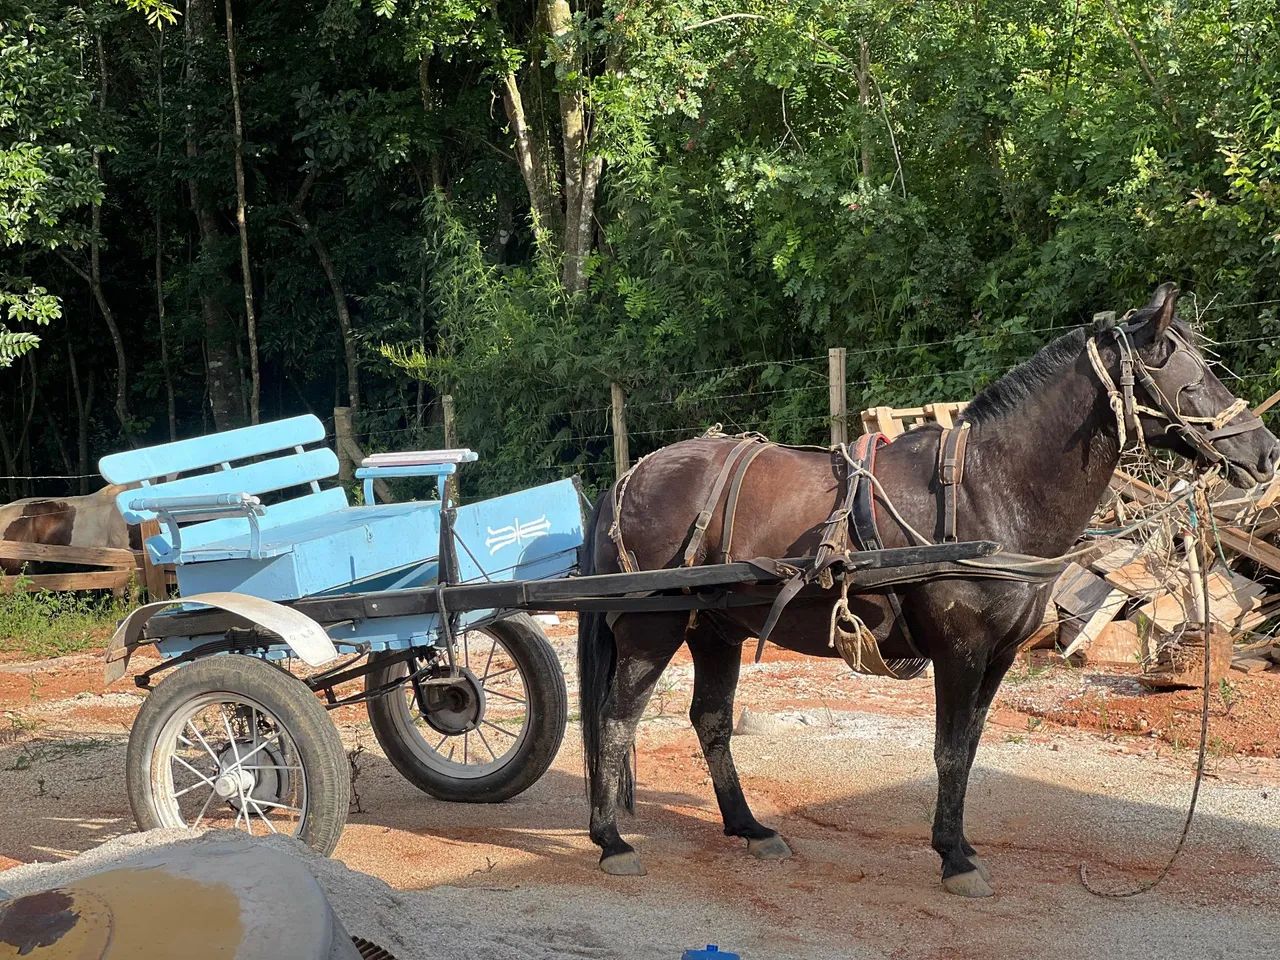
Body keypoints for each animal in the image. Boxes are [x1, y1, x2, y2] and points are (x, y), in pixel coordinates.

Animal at [577, 283, 1280, 897]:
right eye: (1190, 375)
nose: (1267, 451)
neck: (989, 489)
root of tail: (632, 476)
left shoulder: (997, 658)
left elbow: (966, 752)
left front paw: (959, 846)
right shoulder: (961, 653)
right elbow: (946, 752)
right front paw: (954, 861)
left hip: (714, 629)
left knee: (711, 721)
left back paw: (749, 828)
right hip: (652, 629)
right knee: (614, 720)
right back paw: (611, 841)